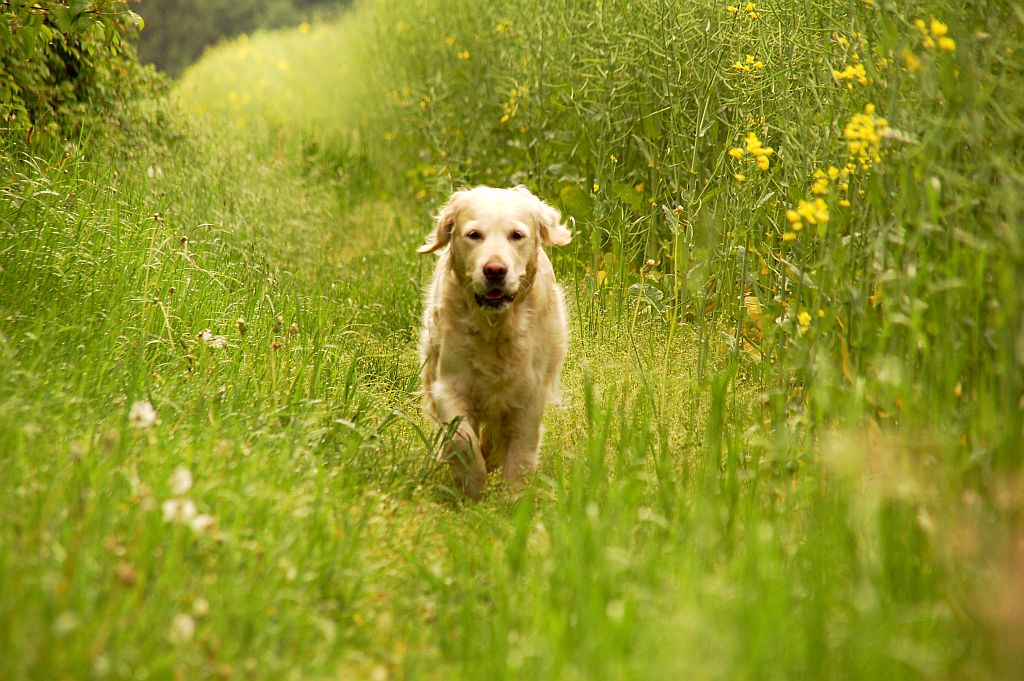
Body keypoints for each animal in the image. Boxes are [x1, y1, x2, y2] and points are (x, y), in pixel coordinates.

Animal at [417, 183, 577, 497]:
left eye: (516, 235)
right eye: (473, 234)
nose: (494, 270)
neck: (496, 328)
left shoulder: (529, 395)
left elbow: (520, 451)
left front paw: (511, 497)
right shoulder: (449, 384)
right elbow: (462, 437)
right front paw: (472, 484)